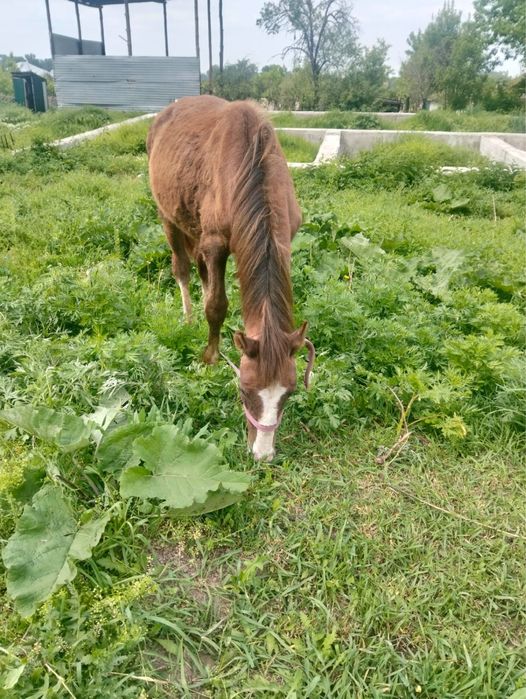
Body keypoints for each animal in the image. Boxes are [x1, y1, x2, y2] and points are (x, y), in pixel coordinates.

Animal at [147, 95, 314, 461]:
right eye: (245, 389)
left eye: (290, 392)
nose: (262, 454)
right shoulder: (215, 243)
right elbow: (217, 307)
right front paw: (209, 357)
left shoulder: (285, 238)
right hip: (168, 217)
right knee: (183, 268)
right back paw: (188, 316)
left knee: (201, 271)